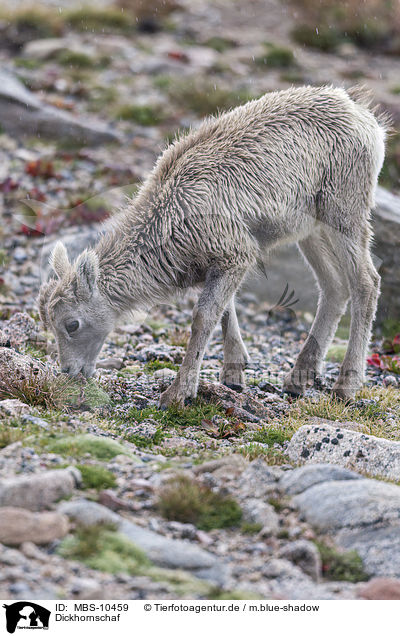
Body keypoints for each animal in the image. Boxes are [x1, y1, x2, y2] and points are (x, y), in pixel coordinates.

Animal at [38, 84, 388, 404]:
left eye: (72, 324)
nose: (69, 371)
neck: (171, 215)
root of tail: (367, 120)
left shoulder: (235, 255)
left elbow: (204, 317)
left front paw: (178, 394)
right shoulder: (219, 265)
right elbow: (224, 313)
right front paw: (234, 375)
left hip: (344, 214)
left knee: (365, 283)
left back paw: (345, 387)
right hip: (311, 230)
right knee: (334, 287)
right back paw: (297, 380)